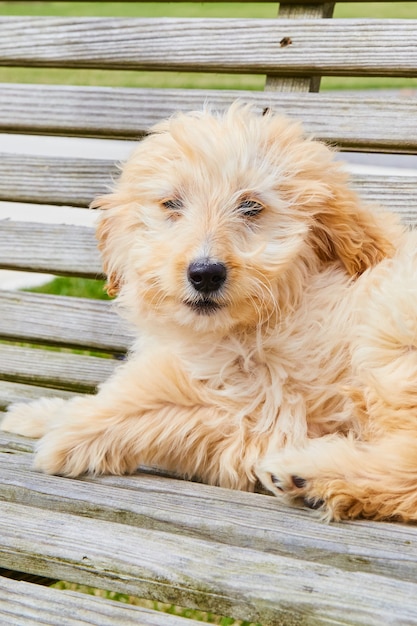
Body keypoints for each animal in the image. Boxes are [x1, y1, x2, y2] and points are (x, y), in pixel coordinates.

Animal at [1, 105, 414, 520]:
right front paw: (37, 415)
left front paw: (71, 433)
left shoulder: (269, 412)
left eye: (251, 206)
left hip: (389, 323)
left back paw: (309, 473)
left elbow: (159, 403)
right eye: (171, 204)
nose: (205, 274)